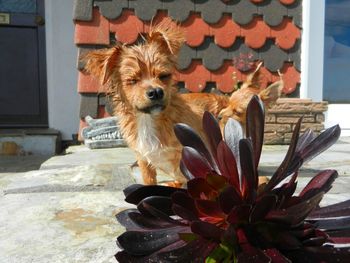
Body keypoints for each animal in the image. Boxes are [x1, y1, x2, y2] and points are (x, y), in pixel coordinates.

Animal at [82, 18, 282, 187]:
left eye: (164, 76)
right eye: (132, 80)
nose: (156, 92)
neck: (149, 120)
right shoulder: (144, 160)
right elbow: (149, 183)